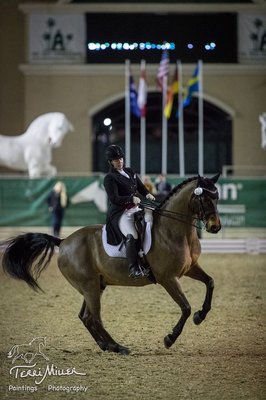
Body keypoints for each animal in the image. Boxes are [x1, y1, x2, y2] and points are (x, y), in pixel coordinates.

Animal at [1, 173, 221, 354]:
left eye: (217, 197)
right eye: (204, 198)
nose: (215, 227)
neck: (173, 230)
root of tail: (63, 242)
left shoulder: (190, 268)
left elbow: (210, 282)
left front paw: (201, 315)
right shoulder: (168, 278)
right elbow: (185, 307)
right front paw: (170, 338)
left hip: (95, 285)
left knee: (86, 317)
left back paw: (106, 345)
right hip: (89, 285)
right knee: (95, 318)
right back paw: (118, 347)